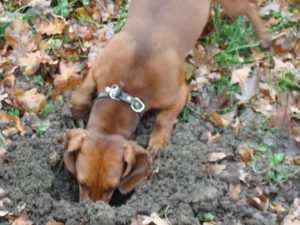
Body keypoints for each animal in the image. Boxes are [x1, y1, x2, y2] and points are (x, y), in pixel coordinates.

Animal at [63, 0, 270, 202]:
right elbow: (80, 94)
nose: (92, 209)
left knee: (250, 7)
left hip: (233, 6)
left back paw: (263, 37)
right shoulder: (96, 70)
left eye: (112, 187)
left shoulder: (180, 95)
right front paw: (77, 110)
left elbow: (163, 118)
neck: (126, 90)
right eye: (81, 182)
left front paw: (157, 139)